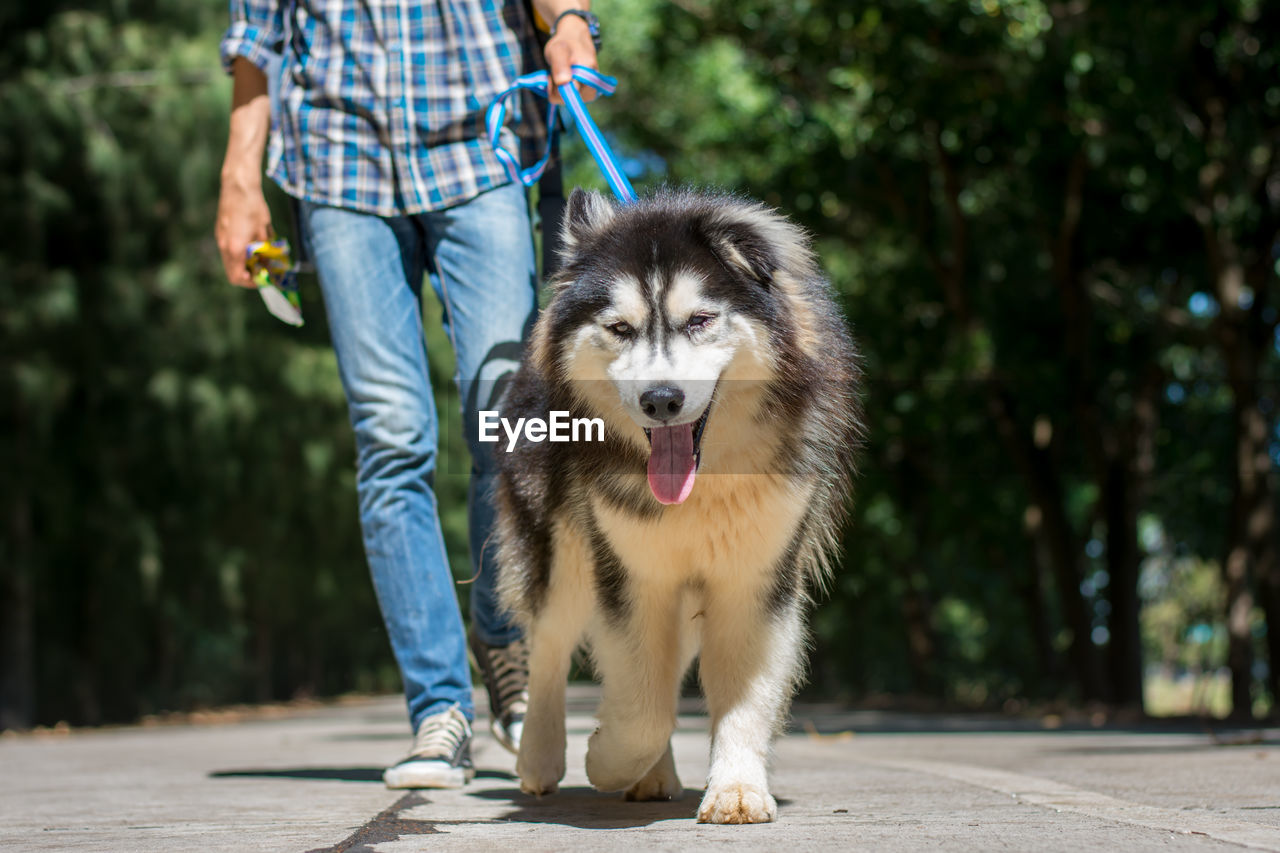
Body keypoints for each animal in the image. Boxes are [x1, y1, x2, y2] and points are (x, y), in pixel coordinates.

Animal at [488, 188, 860, 824]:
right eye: (619, 327)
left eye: (700, 320)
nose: (661, 400)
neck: (704, 481)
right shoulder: (632, 573)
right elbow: (642, 706)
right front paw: (604, 759)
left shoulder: (754, 576)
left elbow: (736, 696)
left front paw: (736, 788)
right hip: (561, 547)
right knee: (551, 643)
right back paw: (541, 757)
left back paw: (654, 776)